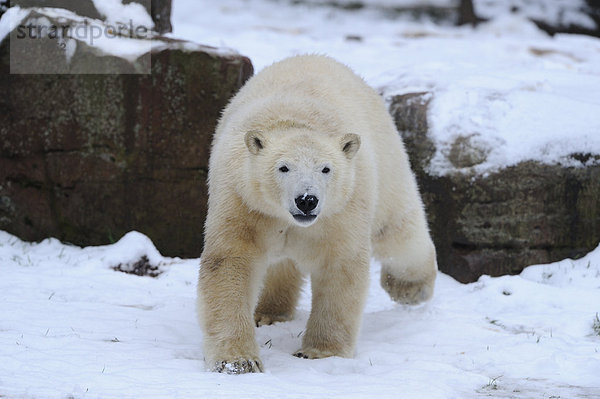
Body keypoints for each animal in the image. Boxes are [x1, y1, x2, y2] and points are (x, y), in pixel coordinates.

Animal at [197, 54, 436, 374]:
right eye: (283, 167)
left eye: (326, 168)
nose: (307, 200)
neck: (296, 121)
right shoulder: (244, 200)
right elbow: (231, 261)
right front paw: (238, 361)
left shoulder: (343, 207)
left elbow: (340, 265)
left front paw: (321, 352)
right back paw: (268, 313)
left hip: (386, 161)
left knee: (397, 228)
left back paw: (410, 288)